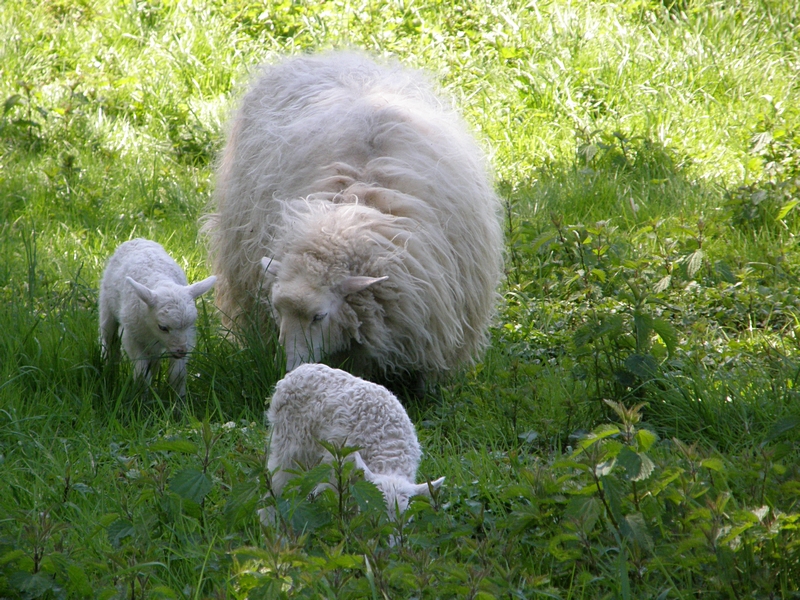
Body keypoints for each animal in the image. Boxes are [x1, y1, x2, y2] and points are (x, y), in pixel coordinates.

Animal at [97, 238, 216, 398]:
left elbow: (177, 375)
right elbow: (142, 375)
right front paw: (141, 398)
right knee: (109, 341)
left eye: (190, 323)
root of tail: (138, 239)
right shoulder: (131, 337)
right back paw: (109, 371)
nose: (181, 350)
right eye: (163, 327)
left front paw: (179, 401)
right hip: (107, 306)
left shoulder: (189, 337)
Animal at [268, 360, 444, 516]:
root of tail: (296, 371)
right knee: (277, 481)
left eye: (405, 516)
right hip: (288, 442)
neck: (389, 448)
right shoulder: (341, 471)